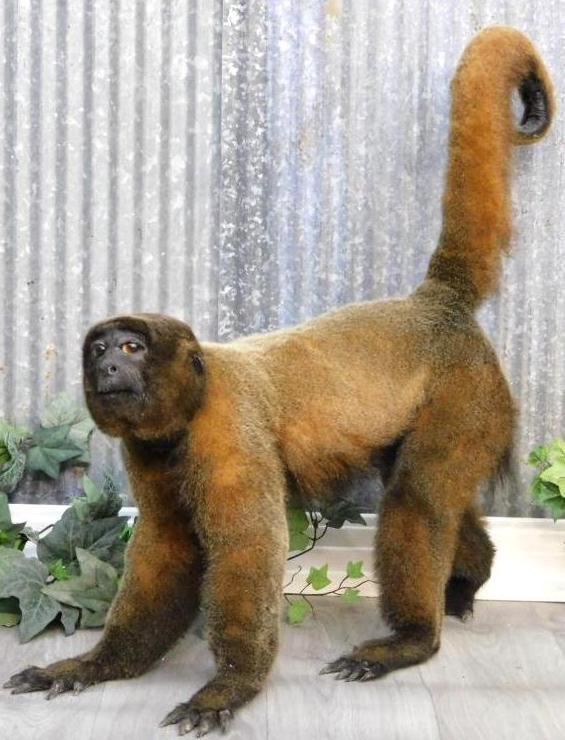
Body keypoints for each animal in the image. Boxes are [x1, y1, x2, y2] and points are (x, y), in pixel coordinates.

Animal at [4, 27, 554, 737]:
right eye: (97, 349)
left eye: (131, 346)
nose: (107, 368)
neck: (190, 405)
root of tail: (435, 305)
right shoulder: (145, 447)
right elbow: (166, 547)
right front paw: (93, 666)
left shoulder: (226, 429)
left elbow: (246, 550)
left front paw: (228, 687)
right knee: (434, 497)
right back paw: (469, 579)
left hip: (468, 396)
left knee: (418, 497)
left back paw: (413, 639)